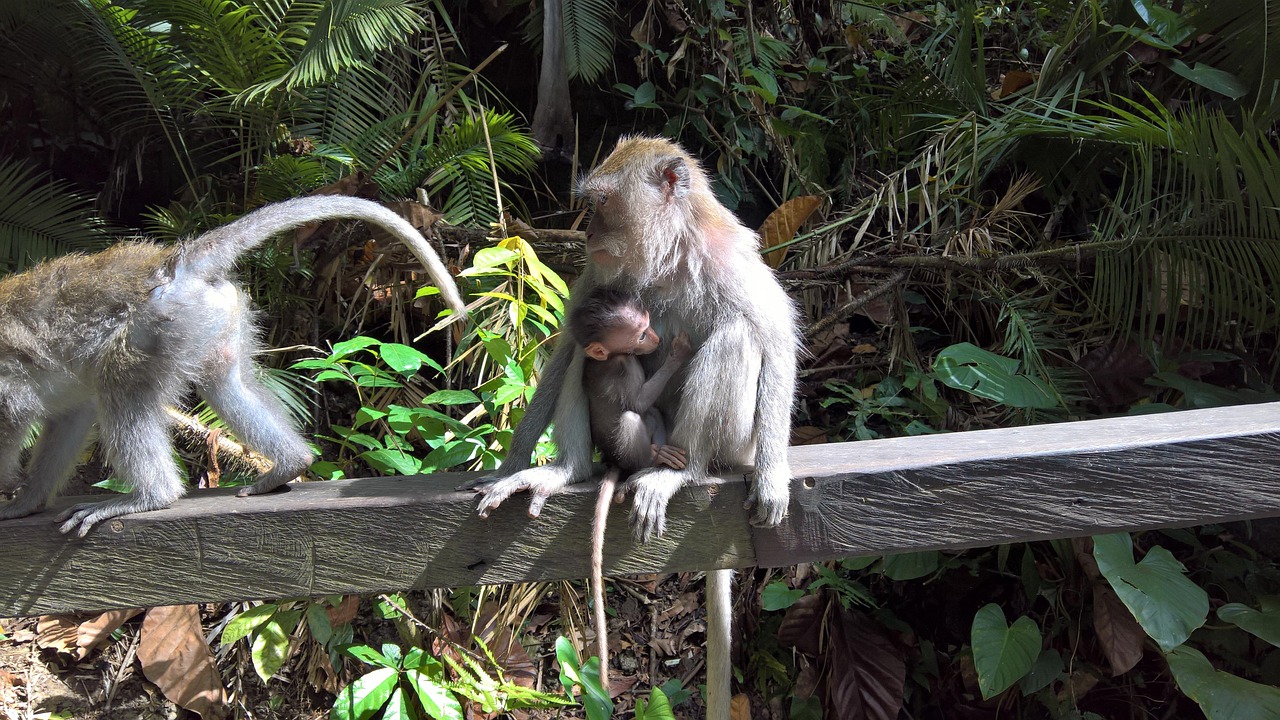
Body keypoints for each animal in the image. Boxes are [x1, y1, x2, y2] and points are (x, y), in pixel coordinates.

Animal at [0, 195, 467, 537]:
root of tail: (174, 263)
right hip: (208, 318)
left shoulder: (6, 387)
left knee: (121, 387)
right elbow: (70, 415)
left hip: (156, 325)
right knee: (222, 383)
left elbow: (15, 421)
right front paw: (28, 501)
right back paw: (291, 461)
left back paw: (151, 497)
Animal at [567, 284, 692, 690]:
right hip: (624, 448)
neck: (618, 355)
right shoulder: (620, 365)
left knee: (648, 415)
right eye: (639, 334)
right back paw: (651, 458)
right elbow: (634, 402)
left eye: (649, 325)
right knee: (632, 417)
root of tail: (615, 460)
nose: (654, 339)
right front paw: (677, 354)